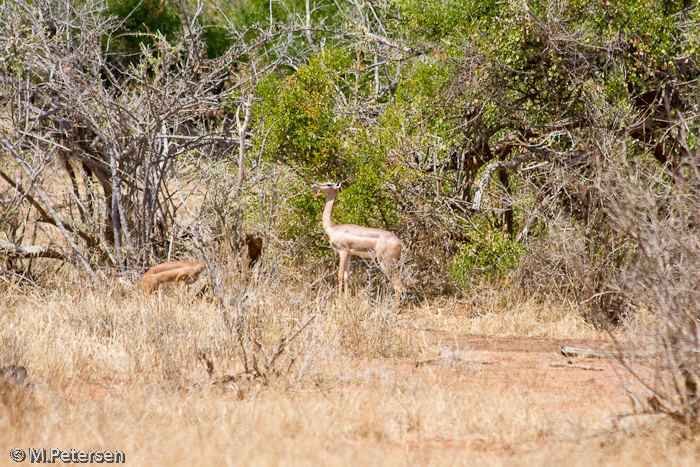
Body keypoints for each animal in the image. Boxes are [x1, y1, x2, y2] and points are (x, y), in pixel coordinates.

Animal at [314, 182, 404, 310]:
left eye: (329, 184)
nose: (315, 184)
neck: (333, 228)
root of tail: (400, 243)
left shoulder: (342, 252)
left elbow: (339, 276)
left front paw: (339, 305)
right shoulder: (349, 254)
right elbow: (347, 276)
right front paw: (346, 301)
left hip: (386, 262)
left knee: (398, 286)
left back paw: (393, 311)